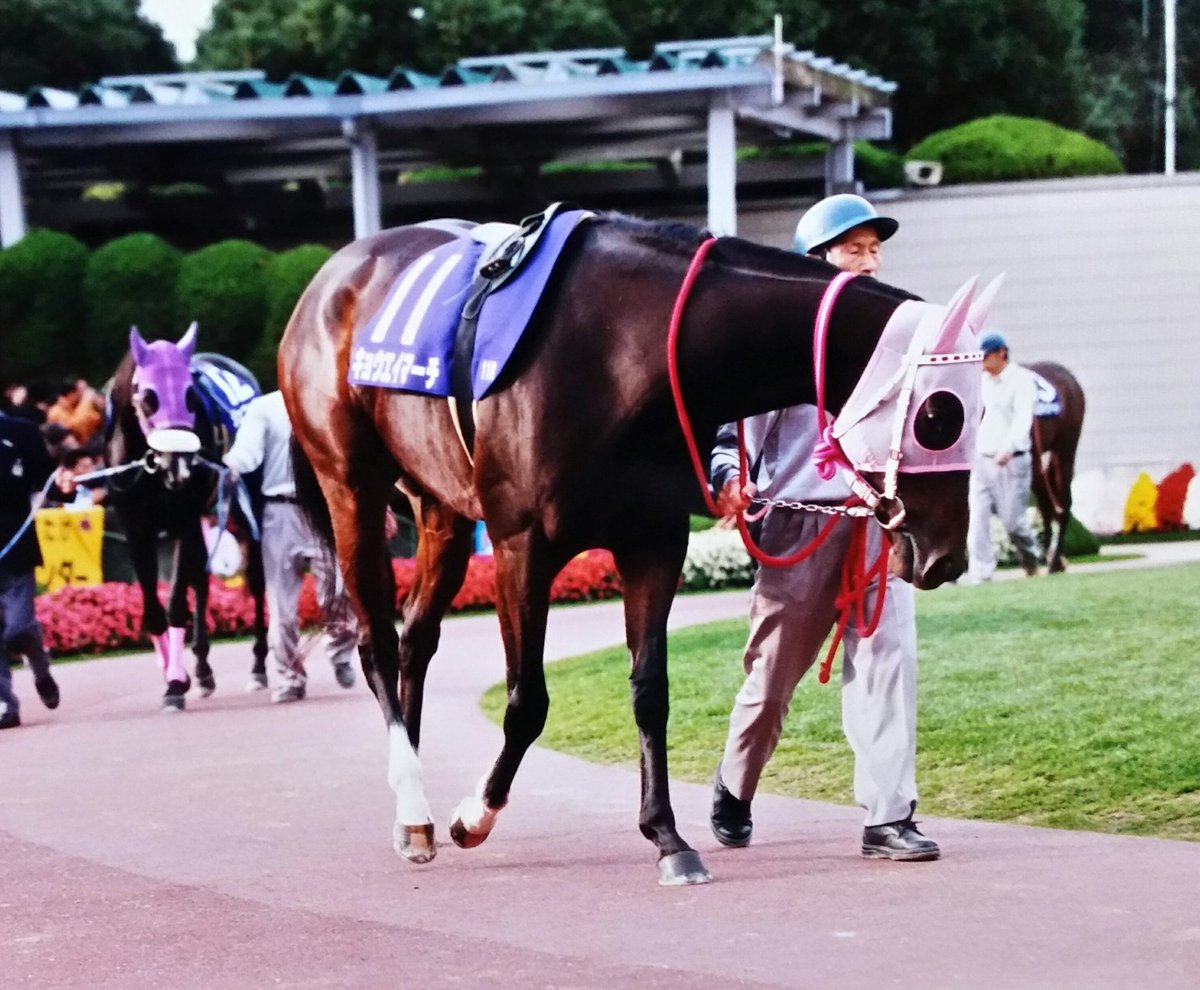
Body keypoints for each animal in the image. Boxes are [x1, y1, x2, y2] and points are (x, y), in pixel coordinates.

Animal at [104, 323, 268, 711]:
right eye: (149, 395)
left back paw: (258, 667)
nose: (179, 464)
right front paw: (177, 675)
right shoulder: (135, 528)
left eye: (190, 395)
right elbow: (153, 608)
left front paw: (176, 685)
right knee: (203, 581)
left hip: (243, 503)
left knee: (256, 580)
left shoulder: (185, 519)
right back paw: (204, 670)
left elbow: (177, 602)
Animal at [279, 211, 997, 885]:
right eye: (940, 416)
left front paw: (669, 839)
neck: (625, 347)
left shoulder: (654, 539)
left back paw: (414, 801)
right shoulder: (520, 545)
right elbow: (527, 700)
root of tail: (332, 273)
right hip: (352, 488)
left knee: (416, 638)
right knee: (376, 639)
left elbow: (651, 690)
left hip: (442, 506)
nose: (947, 559)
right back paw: (415, 811)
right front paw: (473, 815)